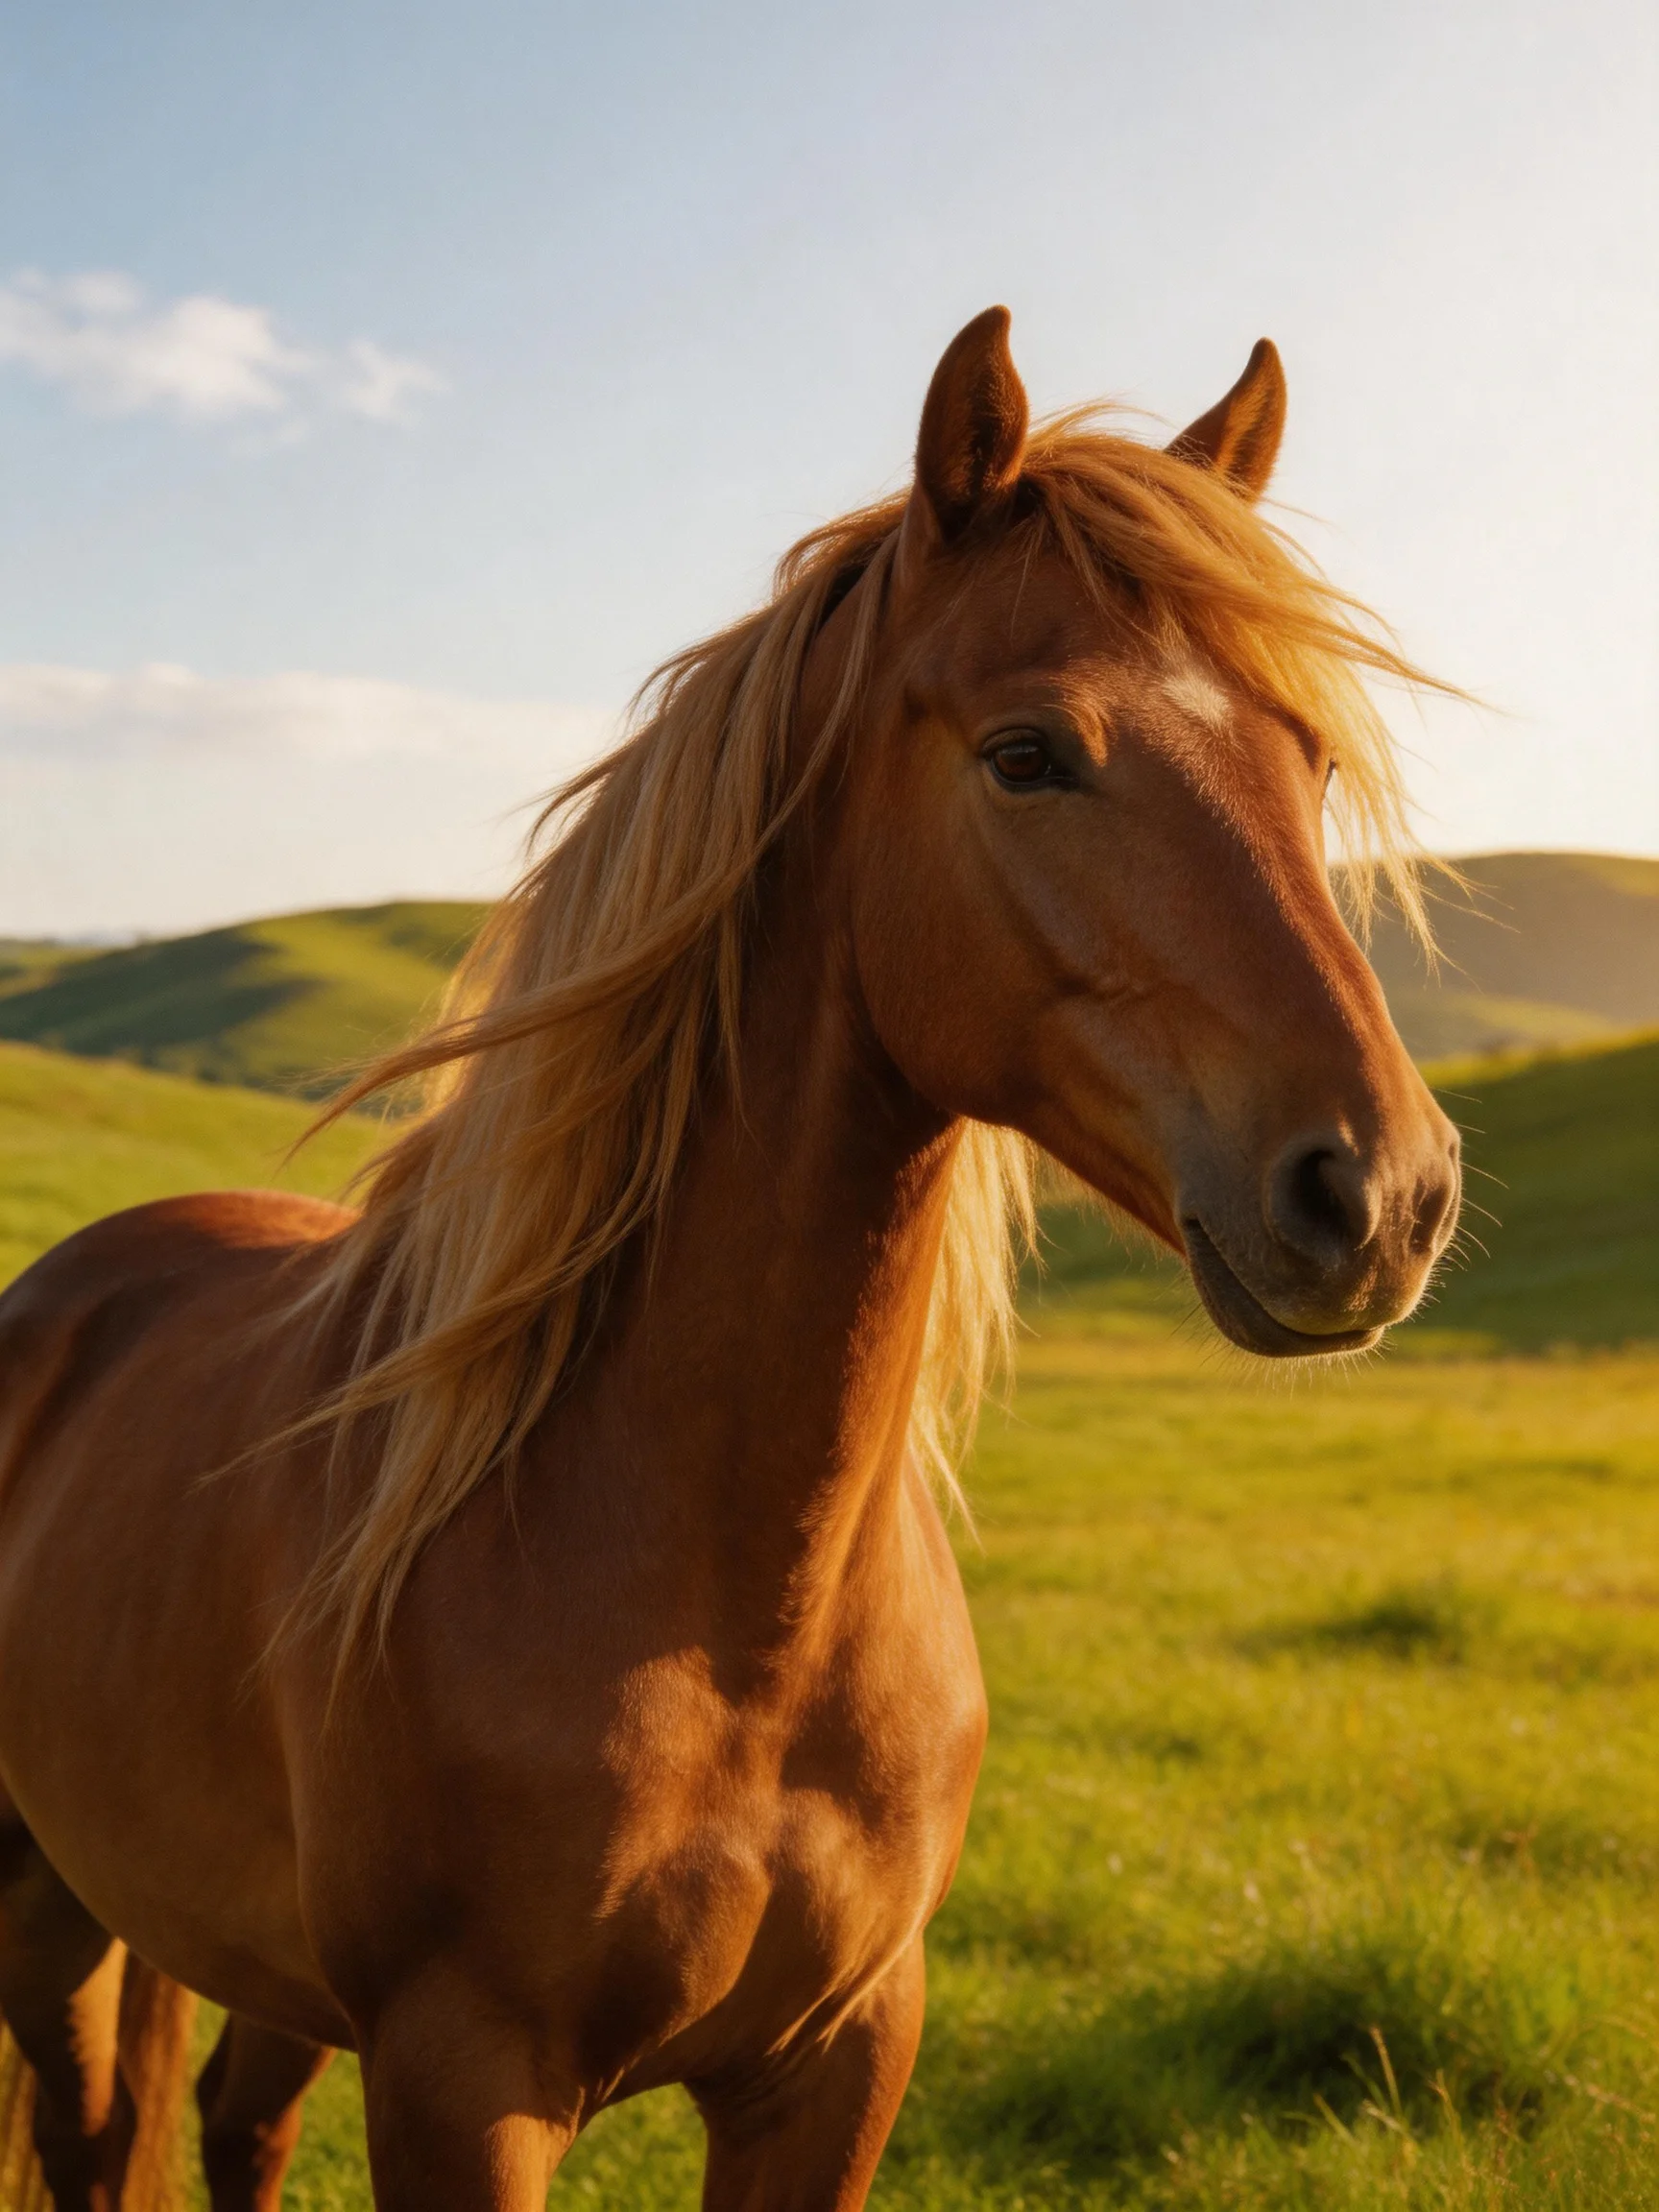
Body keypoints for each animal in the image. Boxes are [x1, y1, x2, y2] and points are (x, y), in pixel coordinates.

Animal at [0, 307, 1460, 2211]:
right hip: (48, 1908)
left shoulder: (835, 2061)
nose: (1378, 1193)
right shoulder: (464, 2083)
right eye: (1026, 753)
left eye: (1312, 762)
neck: (731, 1617)